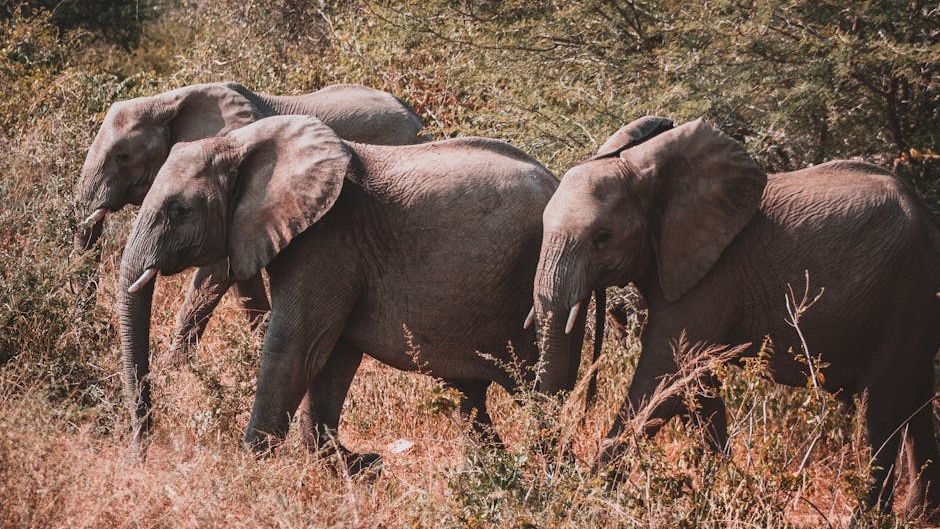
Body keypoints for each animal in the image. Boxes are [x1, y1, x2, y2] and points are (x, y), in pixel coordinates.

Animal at [74, 82, 426, 363]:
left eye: (122, 156)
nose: (96, 333)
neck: (169, 100)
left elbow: (215, 273)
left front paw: (170, 370)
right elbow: (240, 276)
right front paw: (256, 346)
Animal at [117, 115, 558, 468]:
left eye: (179, 211)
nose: (140, 456)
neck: (242, 142)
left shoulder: (328, 239)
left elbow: (295, 346)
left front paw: (248, 469)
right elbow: (332, 357)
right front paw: (356, 465)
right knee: (471, 396)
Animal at [530, 116, 940, 517]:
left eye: (602, 237)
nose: (562, 469)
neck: (648, 172)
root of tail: (927, 216)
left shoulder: (712, 277)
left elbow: (666, 375)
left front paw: (586, 501)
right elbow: (698, 388)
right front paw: (720, 496)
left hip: (906, 291)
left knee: (881, 408)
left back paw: (870, 516)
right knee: (914, 403)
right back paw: (917, 515)